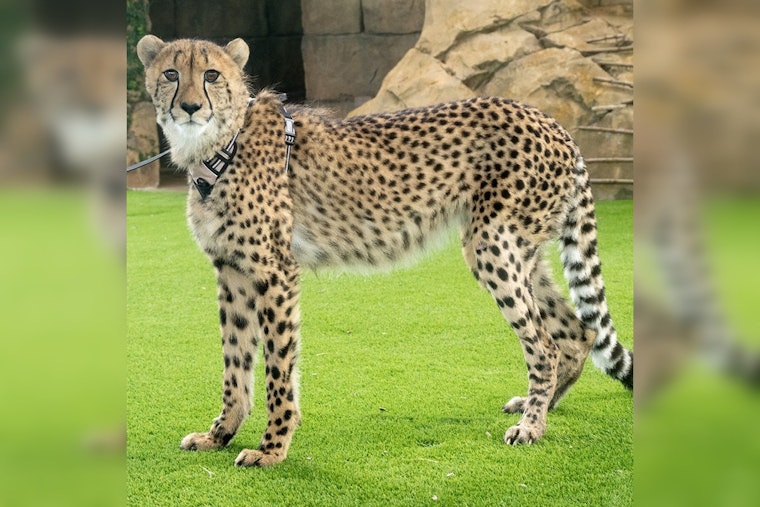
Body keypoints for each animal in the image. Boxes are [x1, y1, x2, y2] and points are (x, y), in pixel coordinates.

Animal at [136, 35, 633, 467]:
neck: (218, 145)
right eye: (171, 74)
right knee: (577, 333)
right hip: (521, 251)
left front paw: (271, 450)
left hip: (492, 245)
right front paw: (219, 435)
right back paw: (540, 408)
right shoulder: (232, 272)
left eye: (212, 75)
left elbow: (278, 367)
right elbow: (235, 363)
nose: (190, 106)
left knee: (545, 343)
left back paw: (532, 426)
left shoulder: (274, 272)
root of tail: (553, 123)